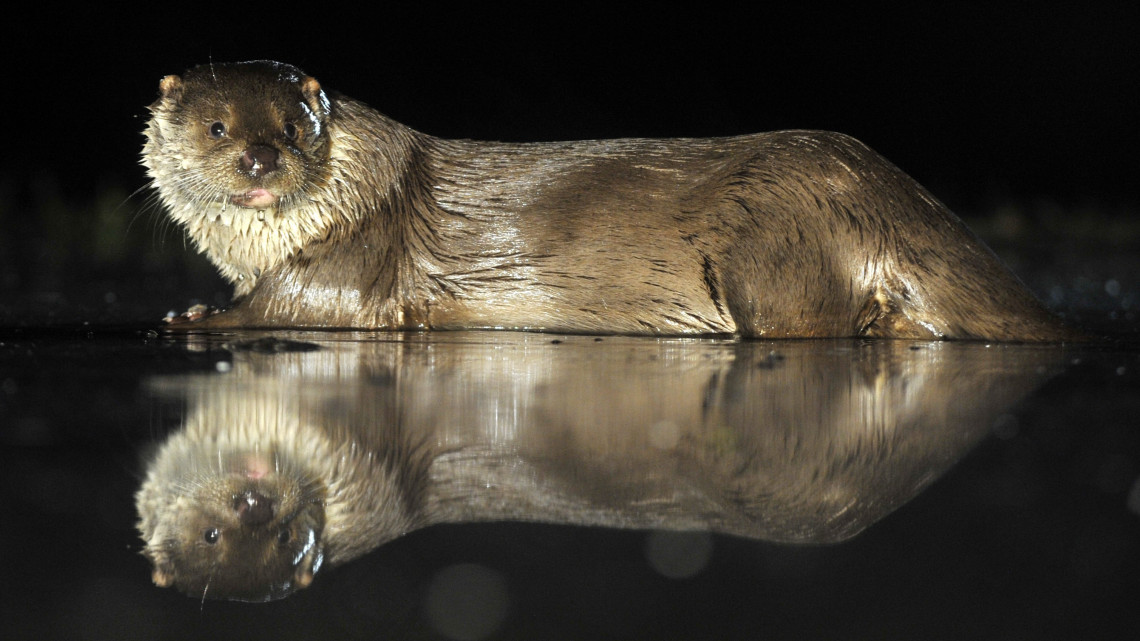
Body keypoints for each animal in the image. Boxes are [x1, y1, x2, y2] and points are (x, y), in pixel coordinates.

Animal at [144, 59, 1076, 339]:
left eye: (294, 125)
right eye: (219, 126)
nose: (262, 159)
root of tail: (896, 199)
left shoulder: (361, 251)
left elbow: (307, 302)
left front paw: (200, 315)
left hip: (779, 231)